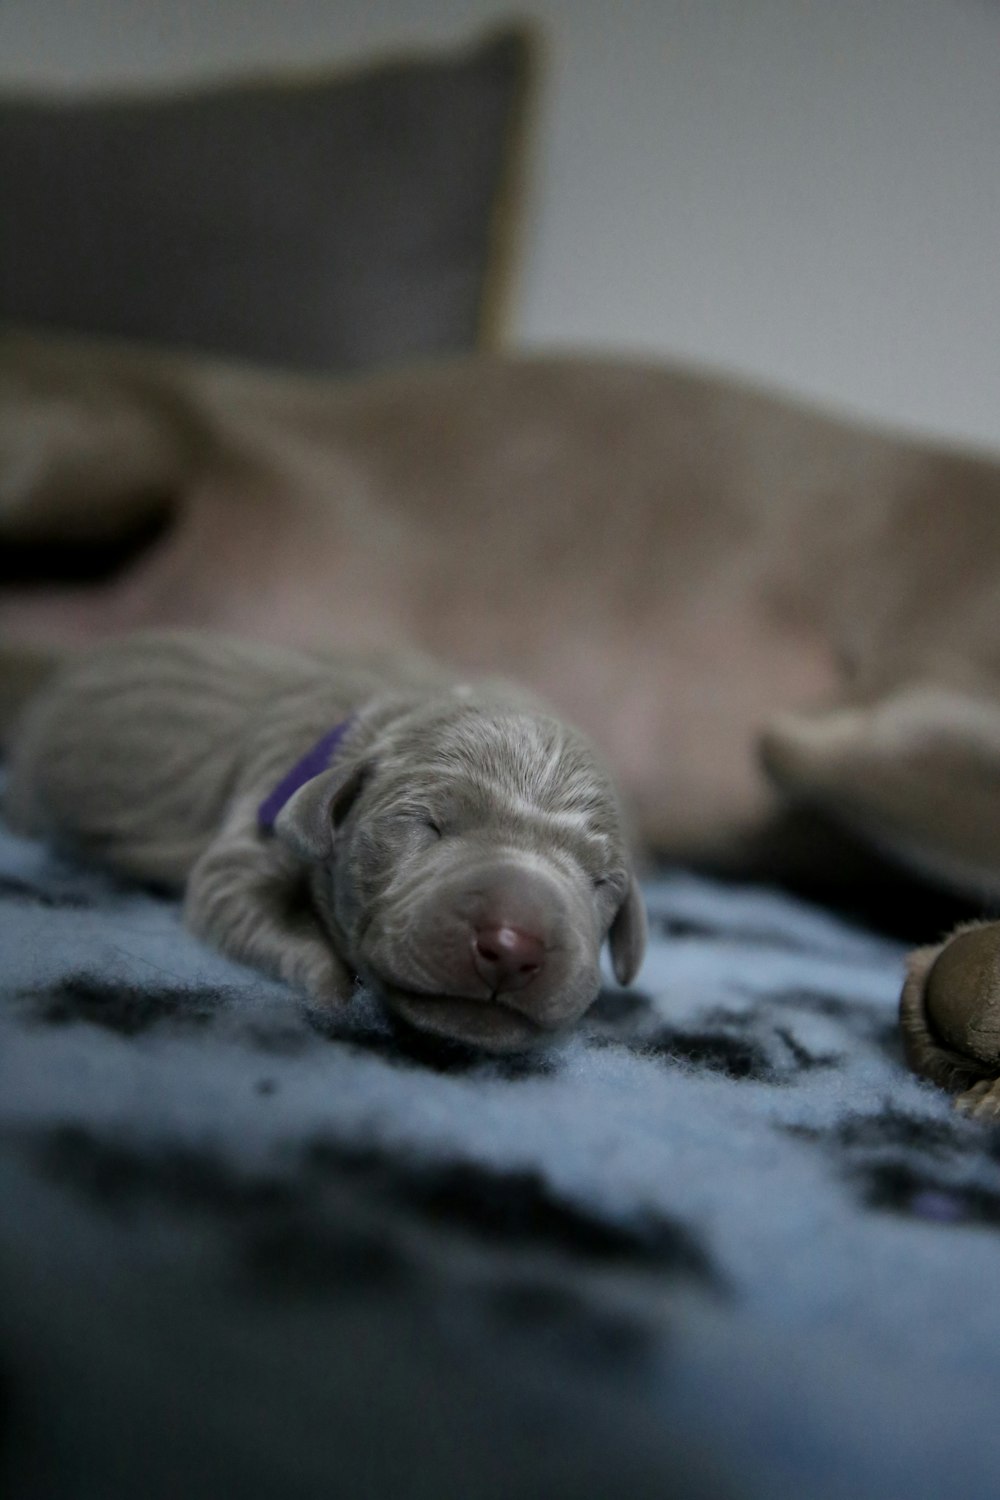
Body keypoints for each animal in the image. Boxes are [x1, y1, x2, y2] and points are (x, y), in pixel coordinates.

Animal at [0, 627, 650, 1050]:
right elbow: (240, 904)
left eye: (601, 881)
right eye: (430, 824)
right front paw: (335, 991)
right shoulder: (254, 828)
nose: (513, 946)